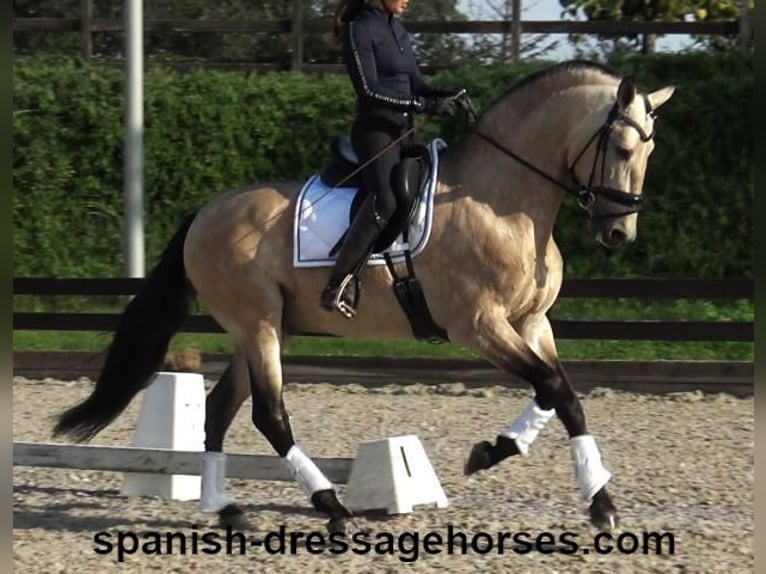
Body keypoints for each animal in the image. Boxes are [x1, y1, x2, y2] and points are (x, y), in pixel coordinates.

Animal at [54, 62, 676, 536]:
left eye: (650, 153)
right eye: (622, 147)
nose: (618, 233)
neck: (503, 201)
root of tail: (205, 213)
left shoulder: (531, 322)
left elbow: (561, 395)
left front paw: (585, 495)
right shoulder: (479, 325)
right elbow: (554, 388)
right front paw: (513, 464)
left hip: (265, 330)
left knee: (220, 409)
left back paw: (226, 508)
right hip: (258, 325)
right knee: (269, 413)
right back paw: (331, 507)